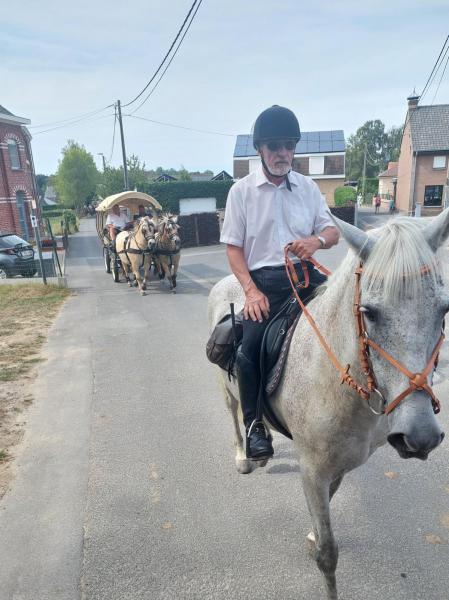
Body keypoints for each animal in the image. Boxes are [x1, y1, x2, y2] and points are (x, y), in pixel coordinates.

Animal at [207, 209, 448, 596]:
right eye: (369, 311)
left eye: (444, 309)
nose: (420, 435)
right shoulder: (312, 469)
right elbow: (328, 555)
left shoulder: (339, 466)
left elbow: (327, 511)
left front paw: (311, 532)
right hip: (225, 386)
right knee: (234, 412)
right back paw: (245, 454)